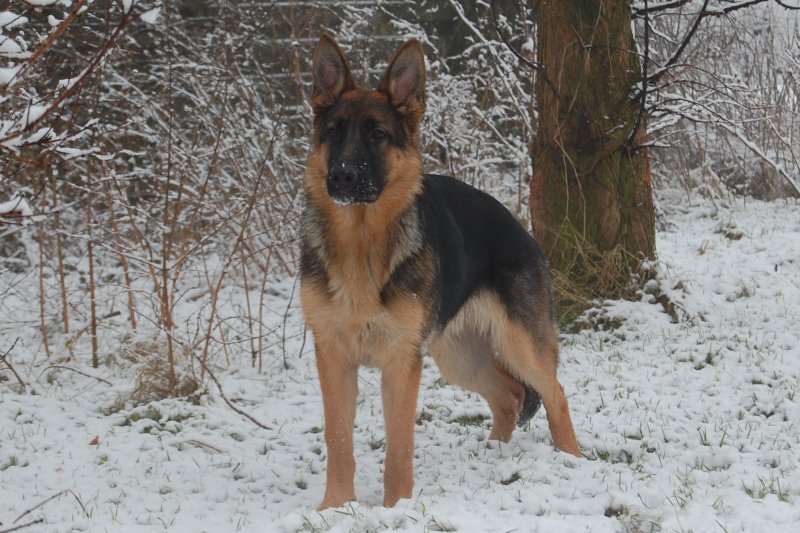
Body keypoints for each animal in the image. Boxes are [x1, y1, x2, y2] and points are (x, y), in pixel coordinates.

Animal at [300, 34, 581, 510]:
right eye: (334, 133)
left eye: (377, 135)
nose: (340, 177)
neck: (361, 243)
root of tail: (520, 227)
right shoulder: (333, 359)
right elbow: (338, 440)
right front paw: (335, 508)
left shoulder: (400, 363)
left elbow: (398, 446)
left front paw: (396, 508)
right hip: (459, 356)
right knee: (510, 395)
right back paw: (496, 453)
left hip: (519, 344)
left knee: (554, 392)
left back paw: (572, 461)